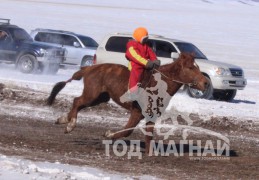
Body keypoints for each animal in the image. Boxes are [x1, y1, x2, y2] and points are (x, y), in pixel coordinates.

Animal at [46, 52, 209, 153]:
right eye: (190, 67)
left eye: (197, 66)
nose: (206, 83)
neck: (159, 84)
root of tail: (89, 68)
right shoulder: (137, 112)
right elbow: (127, 130)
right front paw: (109, 134)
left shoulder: (152, 115)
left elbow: (148, 135)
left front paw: (149, 153)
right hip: (92, 94)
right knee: (77, 101)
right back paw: (70, 124)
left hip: (101, 97)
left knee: (78, 103)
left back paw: (63, 119)